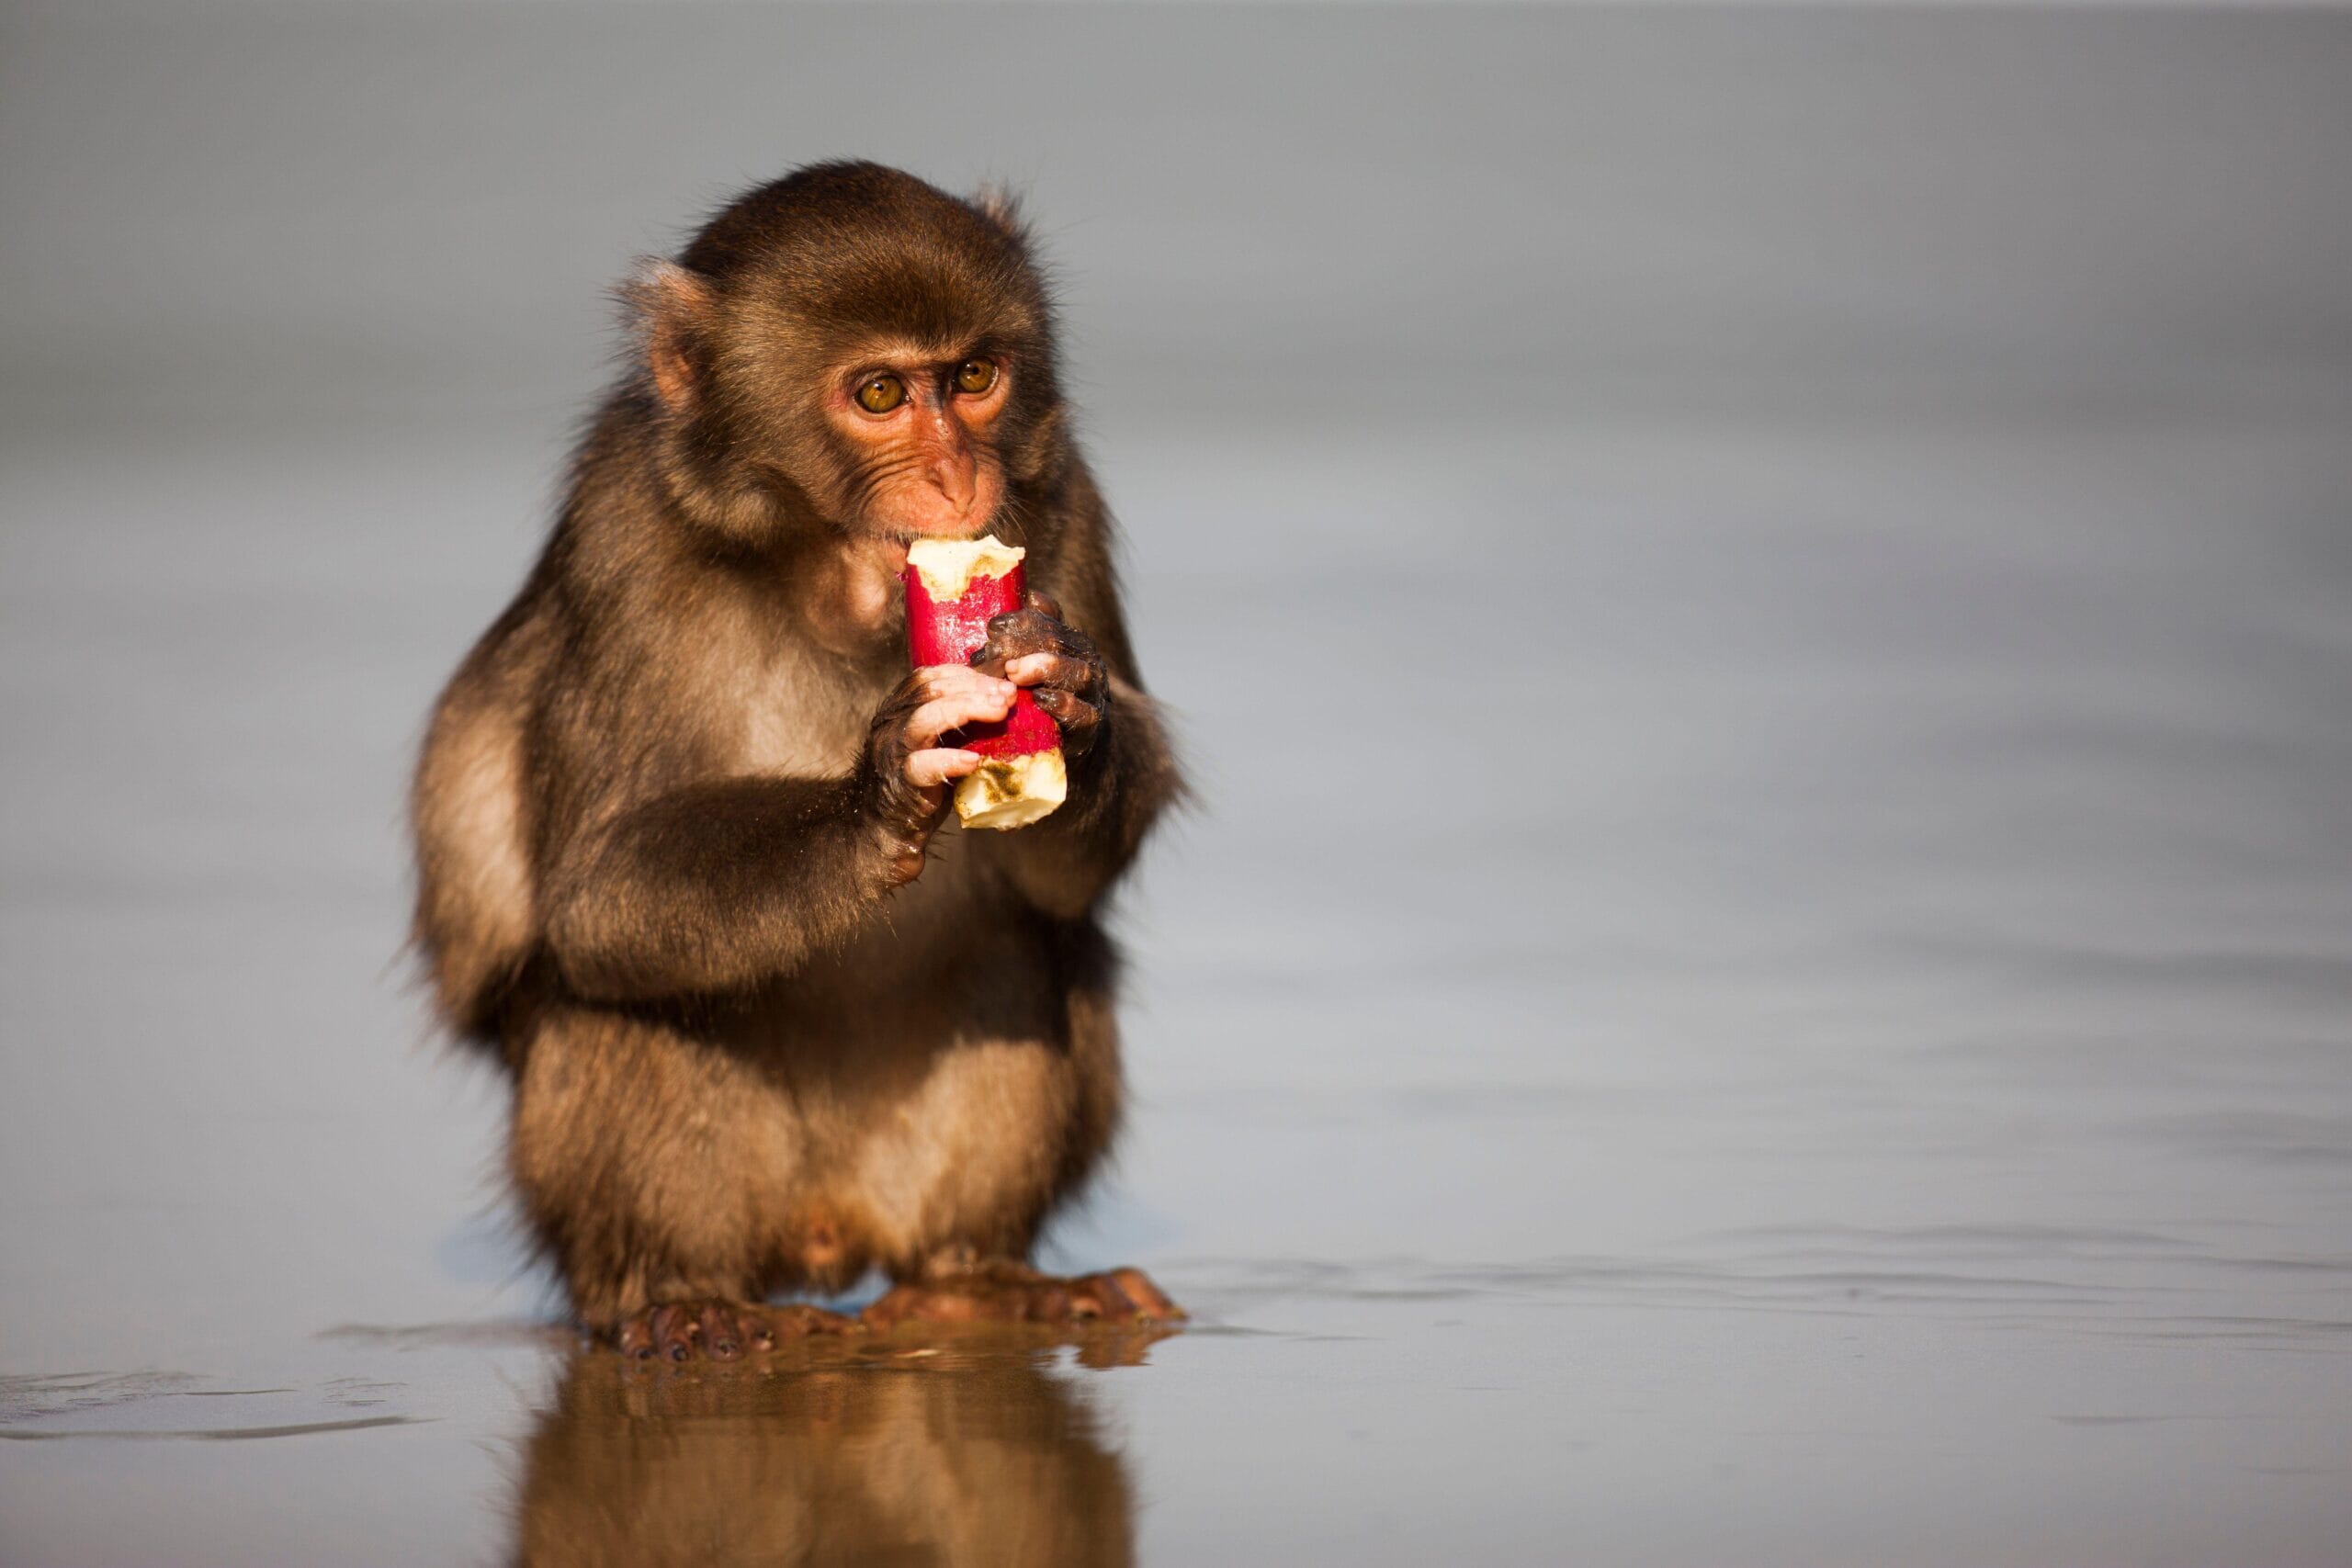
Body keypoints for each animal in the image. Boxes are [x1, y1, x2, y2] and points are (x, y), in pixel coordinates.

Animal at [410, 162, 1184, 1361]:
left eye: (974, 377)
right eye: (878, 396)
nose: (958, 478)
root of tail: (829, 1234)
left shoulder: (1061, 502)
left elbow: (1066, 878)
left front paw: (1074, 712)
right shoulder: (618, 535)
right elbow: (596, 893)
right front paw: (874, 804)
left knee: (1030, 949)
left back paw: (977, 1280)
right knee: (615, 1000)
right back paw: (683, 1298)